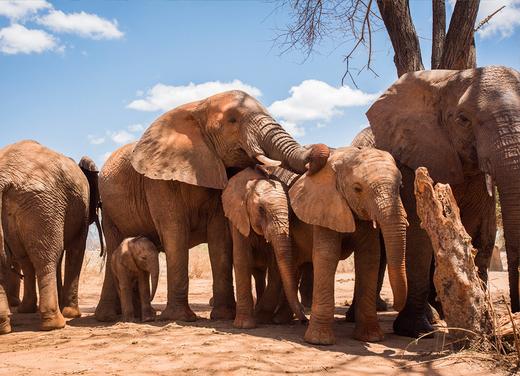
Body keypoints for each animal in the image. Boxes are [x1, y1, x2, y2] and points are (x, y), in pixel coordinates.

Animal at [0, 140, 103, 332]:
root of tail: (6, 175)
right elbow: (76, 250)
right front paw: (72, 314)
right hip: (43, 204)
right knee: (46, 259)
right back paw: (55, 323)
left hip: (37, 205)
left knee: (21, 259)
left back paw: (10, 323)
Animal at [221, 167, 306, 328]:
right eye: (261, 209)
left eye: (291, 212)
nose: (305, 320)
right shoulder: (239, 216)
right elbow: (242, 258)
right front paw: (245, 325)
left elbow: (275, 264)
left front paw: (261, 317)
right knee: (257, 271)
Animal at [354, 65, 520, 338]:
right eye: (463, 119)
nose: (515, 311)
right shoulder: (412, 157)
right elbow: (418, 236)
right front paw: (415, 331)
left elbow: (479, 232)